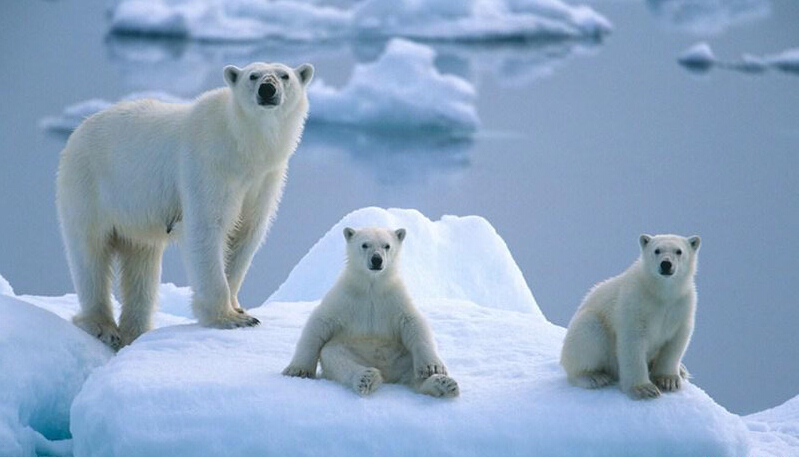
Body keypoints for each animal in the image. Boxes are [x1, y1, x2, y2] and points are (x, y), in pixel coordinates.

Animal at [55, 61, 312, 350]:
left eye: (285, 75)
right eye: (253, 75)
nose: (267, 89)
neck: (242, 147)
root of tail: (77, 131)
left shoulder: (265, 179)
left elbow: (247, 233)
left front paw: (238, 307)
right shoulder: (208, 165)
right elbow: (206, 227)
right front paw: (229, 318)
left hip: (135, 214)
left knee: (141, 264)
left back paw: (135, 331)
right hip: (89, 186)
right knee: (90, 253)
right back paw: (103, 327)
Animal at [282, 226, 460, 398]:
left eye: (387, 245)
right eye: (364, 244)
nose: (376, 259)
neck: (371, 286)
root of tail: (388, 374)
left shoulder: (394, 297)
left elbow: (413, 323)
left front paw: (433, 368)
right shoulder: (345, 297)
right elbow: (320, 322)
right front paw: (297, 370)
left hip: (402, 355)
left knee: (412, 370)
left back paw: (444, 384)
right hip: (351, 350)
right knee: (335, 357)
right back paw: (367, 377)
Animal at [564, 233, 700, 398]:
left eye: (679, 251)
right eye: (657, 250)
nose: (666, 264)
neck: (661, 293)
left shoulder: (682, 304)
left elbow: (676, 342)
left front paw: (668, 380)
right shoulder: (635, 303)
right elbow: (632, 343)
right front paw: (644, 388)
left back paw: (681, 369)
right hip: (589, 329)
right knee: (589, 331)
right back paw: (593, 377)